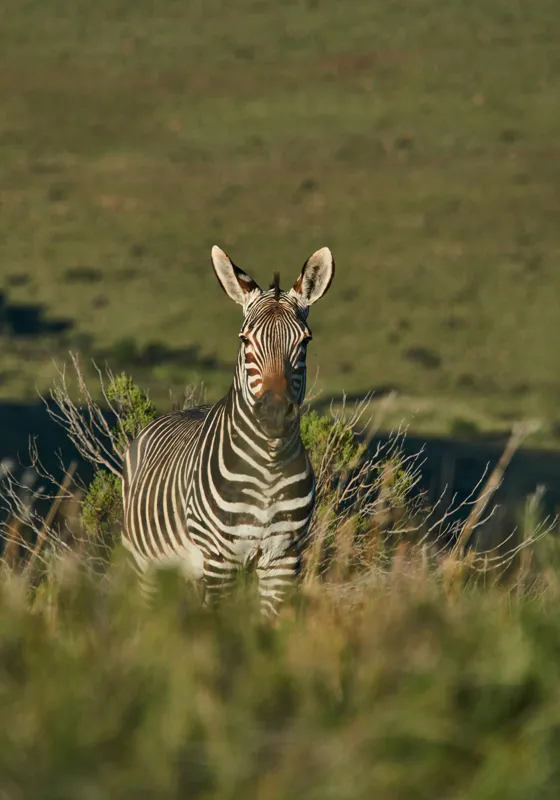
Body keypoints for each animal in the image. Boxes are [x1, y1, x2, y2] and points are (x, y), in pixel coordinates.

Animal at [122, 245, 334, 614]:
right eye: (245, 340)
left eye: (305, 341)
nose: (275, 413)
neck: (269, 466)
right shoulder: (221, 559)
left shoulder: (283, 559)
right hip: (146, 564)